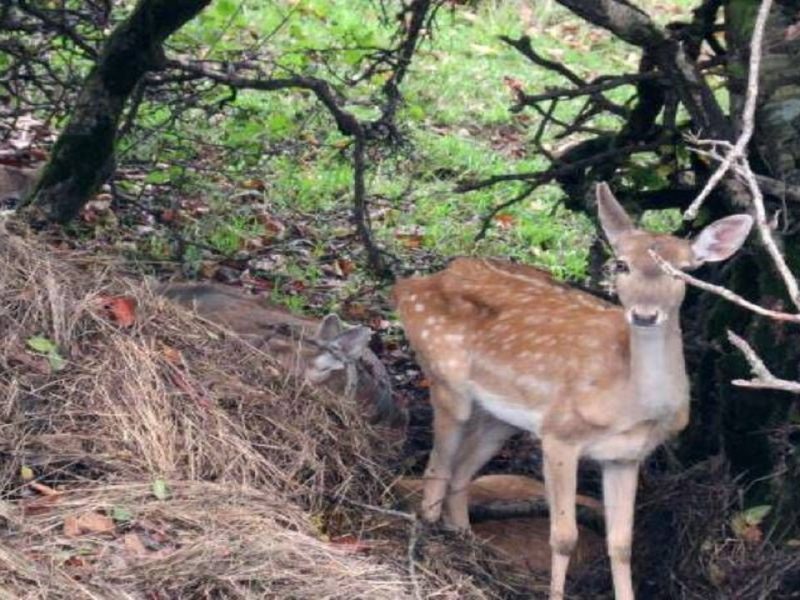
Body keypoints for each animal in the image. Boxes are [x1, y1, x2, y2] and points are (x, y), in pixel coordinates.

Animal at [390, 183, 752, 600]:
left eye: (682, 271)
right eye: (621, 264)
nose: (645, 315)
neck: (631, 405)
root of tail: (408, 285)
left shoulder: (625, 456)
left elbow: (622, 543)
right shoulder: (559, 434)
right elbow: (563, 537)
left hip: (501, 418)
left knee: (461, 472)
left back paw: (468, 543)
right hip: (445, 377)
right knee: (437, 470)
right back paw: (435, 545)